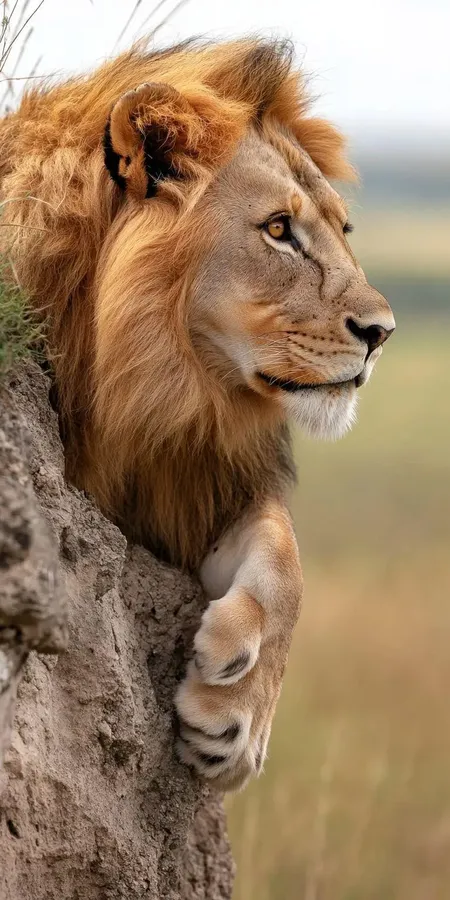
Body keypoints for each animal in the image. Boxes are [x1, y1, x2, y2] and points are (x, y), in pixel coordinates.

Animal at [0, 38, 395, 790]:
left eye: (344, 228)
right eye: (279, 230)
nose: (382, 332)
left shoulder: (199, 491)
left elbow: (287, 565)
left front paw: (238, 723)